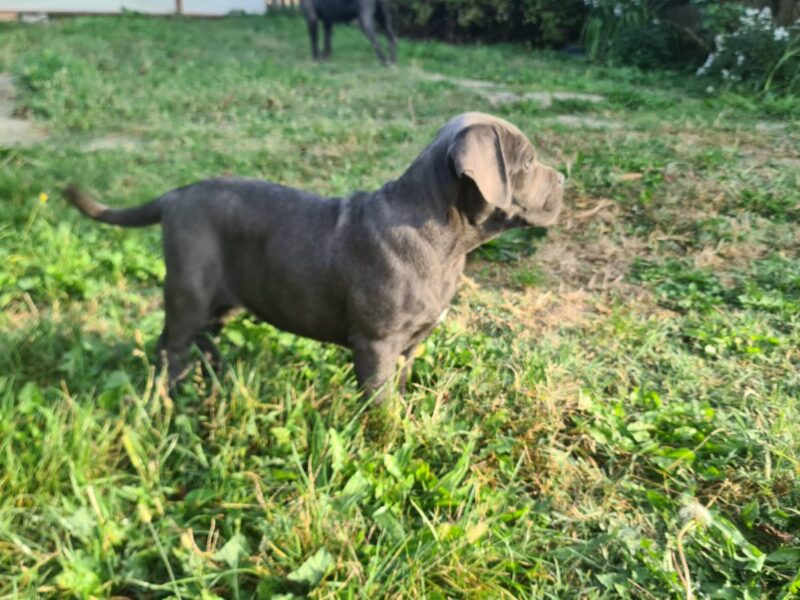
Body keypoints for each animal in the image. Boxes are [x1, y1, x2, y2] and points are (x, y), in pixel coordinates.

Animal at [64, 115, 564, 400]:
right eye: (527, 163)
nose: (563, 179)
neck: (445, 237)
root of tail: (176, 195)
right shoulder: (377, 344)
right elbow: (380, 403)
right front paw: (386, 438)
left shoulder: (409, 345)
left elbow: (402, 387)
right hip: (189, 291)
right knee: (171, 345)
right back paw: (169, 398)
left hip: (221, 299)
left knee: (201, 337)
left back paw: (212, 377)